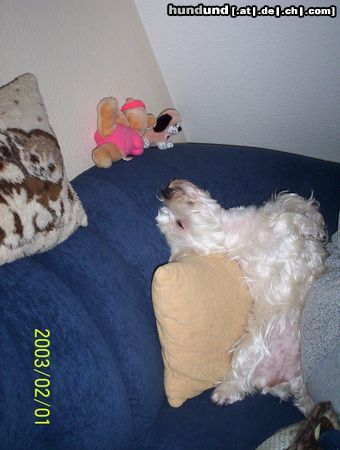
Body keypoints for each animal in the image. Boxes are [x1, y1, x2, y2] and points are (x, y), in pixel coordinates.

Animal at [157, 178, 326, 414]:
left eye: (177, 222)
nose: (165, 191)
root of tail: (291, 379)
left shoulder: (274, 209)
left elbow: (291, 201)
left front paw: (316, 223)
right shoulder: (274, 245)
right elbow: (286, 218)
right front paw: (312, 229)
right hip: (250, 346)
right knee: (241, 377)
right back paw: (223, 394)